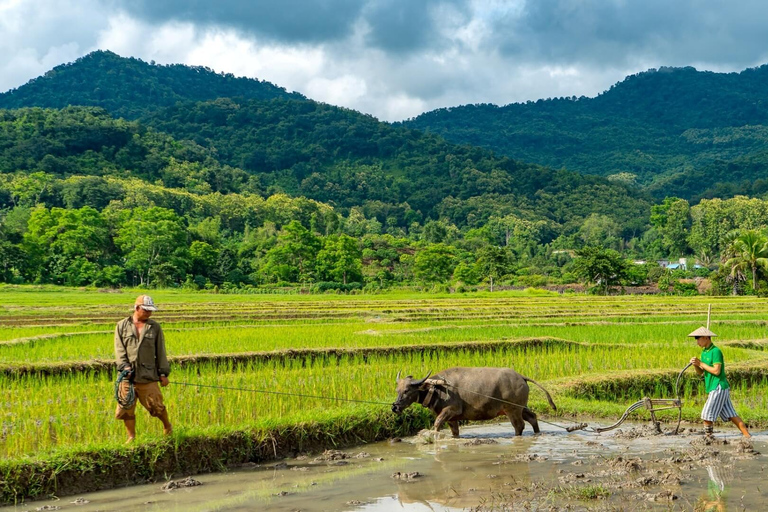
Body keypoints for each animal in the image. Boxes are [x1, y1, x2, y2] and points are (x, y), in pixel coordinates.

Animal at [392, 366, 556, 438]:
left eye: (407, 390)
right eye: (397, 390)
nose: (395, 407)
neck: (437, 388)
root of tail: (521, 376)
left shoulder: (452, 409)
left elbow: (437, 423)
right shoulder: (452, 418)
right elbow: (455, 432)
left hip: (512, 409)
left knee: (519, 425)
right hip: (520, 407)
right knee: (532, 417)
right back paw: (537, 433)